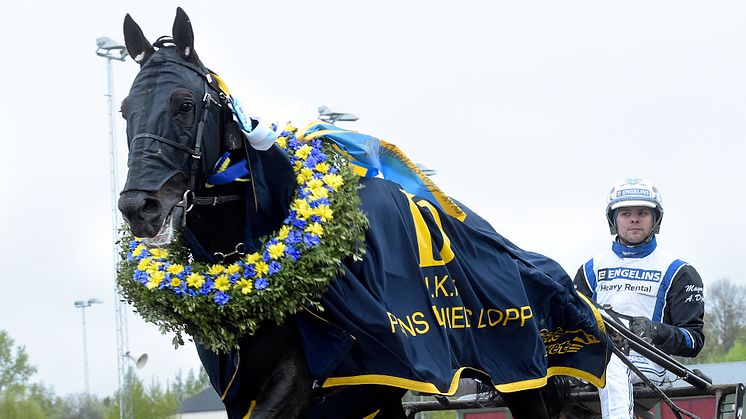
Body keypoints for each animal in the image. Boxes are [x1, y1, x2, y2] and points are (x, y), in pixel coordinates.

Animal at [115, 7, 604, 419]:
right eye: (124, 110)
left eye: (184, 104)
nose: (139, 207)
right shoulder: (251, 388)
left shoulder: (319, 375)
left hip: (518, 368)